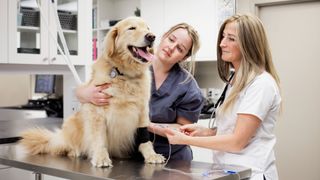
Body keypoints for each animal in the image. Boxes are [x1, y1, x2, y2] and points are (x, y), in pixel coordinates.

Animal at [19, 16, 165, 167]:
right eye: (132, 28)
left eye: (147, 28)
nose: (152, 36)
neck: (124, 74)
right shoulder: (96, 111)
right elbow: (99, 138)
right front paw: (101, 157)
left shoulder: (142, 111)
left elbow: (145, 138)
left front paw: (151, 155)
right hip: (72, 123)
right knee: (65, 145)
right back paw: (74, 151)